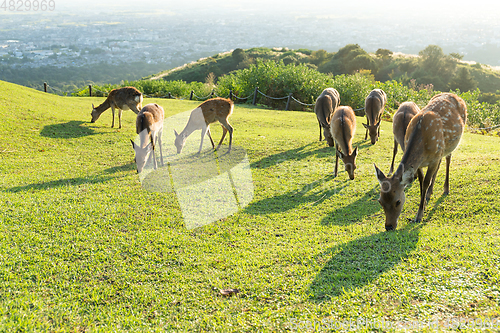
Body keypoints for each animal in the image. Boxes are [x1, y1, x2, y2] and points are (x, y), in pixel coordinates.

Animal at [376, 92, 468, 230]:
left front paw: (419, 216)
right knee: (439, 165)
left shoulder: (433, 159)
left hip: (450, 145)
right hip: (440, 150)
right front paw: (423, 202)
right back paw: (430, 193)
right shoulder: (419, 164)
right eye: (380, 201)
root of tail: (455, 95)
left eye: (398, 201)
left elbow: (425, 182)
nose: (389, 226)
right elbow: (421, 182)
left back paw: (446, 189)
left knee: (448, 159)